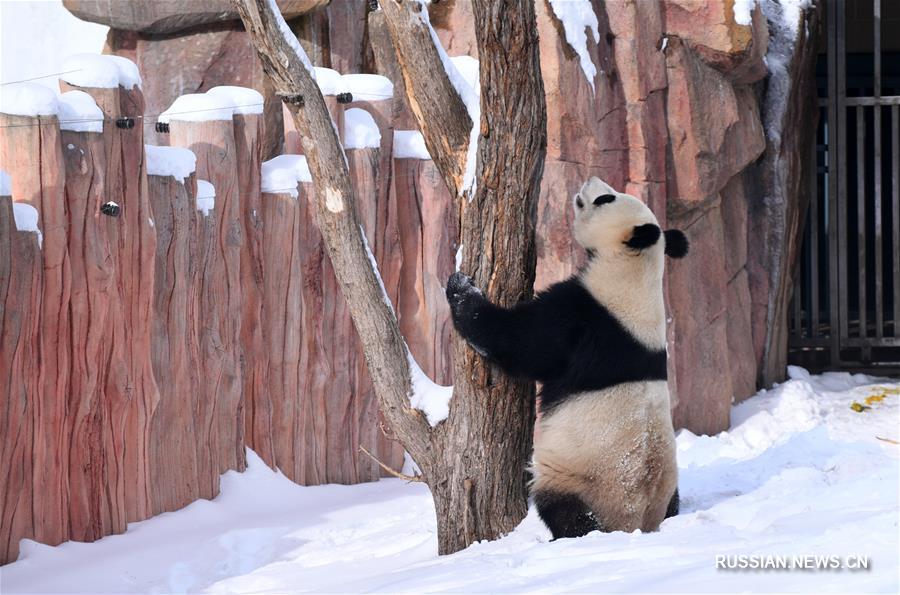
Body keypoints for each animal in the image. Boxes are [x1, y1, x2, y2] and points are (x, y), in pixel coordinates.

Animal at [444, 176, 688, 540]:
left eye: (605, 199)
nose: (590, 181)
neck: (636, 271)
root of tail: (635, 524)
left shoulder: (584, 317)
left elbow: (517, 342)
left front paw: (461, 287)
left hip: (580, 477)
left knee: (564, 509)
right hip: (664, 482)